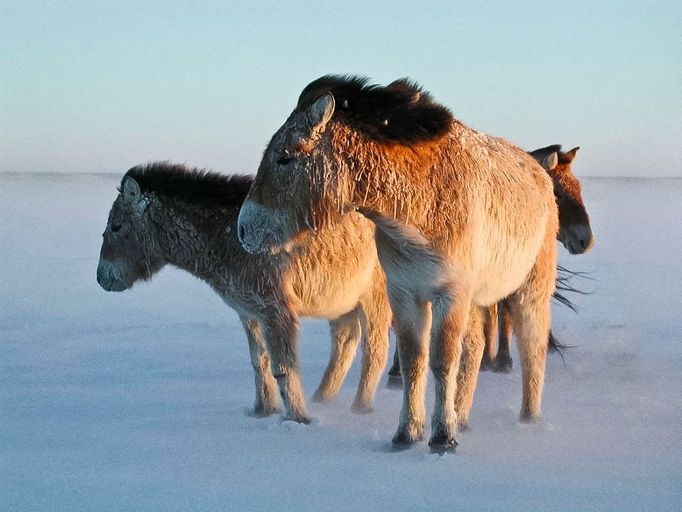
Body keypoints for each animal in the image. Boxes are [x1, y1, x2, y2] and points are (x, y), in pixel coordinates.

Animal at [236, 76, 556, 452]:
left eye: (285, 157)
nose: (243, 229)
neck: (418, 204)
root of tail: (541, 173)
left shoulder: (450, 293)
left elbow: (442, 361)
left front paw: (442, 439)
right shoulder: (404, 292)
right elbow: (414, 360)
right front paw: (407, 434)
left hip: (531, 291)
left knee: (532, 348)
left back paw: (528, 419)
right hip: (477, 300)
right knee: (475, 350)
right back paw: (462, 419)